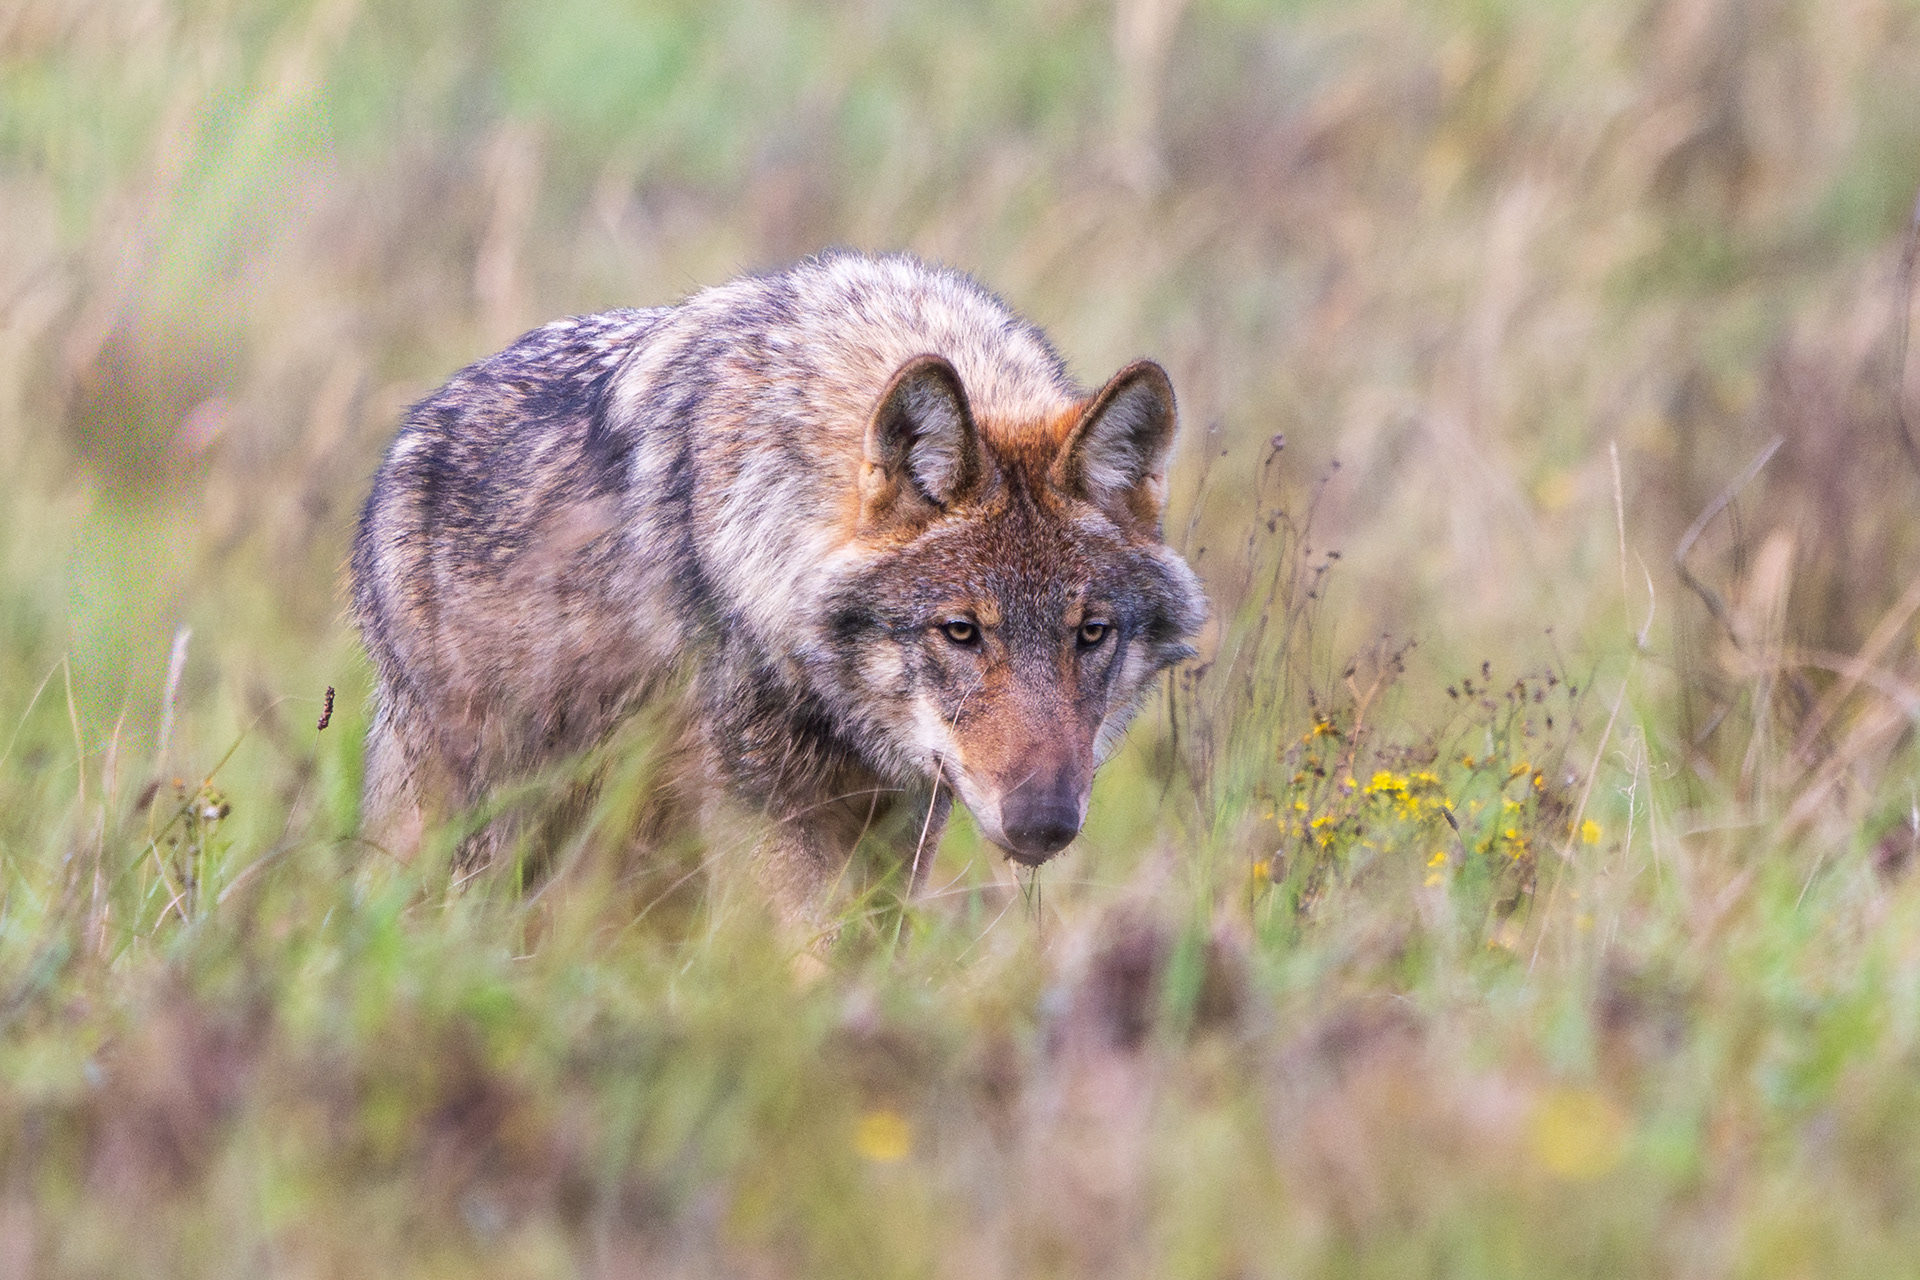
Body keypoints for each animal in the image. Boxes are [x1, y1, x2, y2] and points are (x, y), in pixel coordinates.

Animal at [351, 251, 1206, 926]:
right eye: (961, 631)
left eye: (1091, 633)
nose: (1045, 824)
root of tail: (414, 433)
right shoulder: (762, 814)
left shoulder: (905, 821)